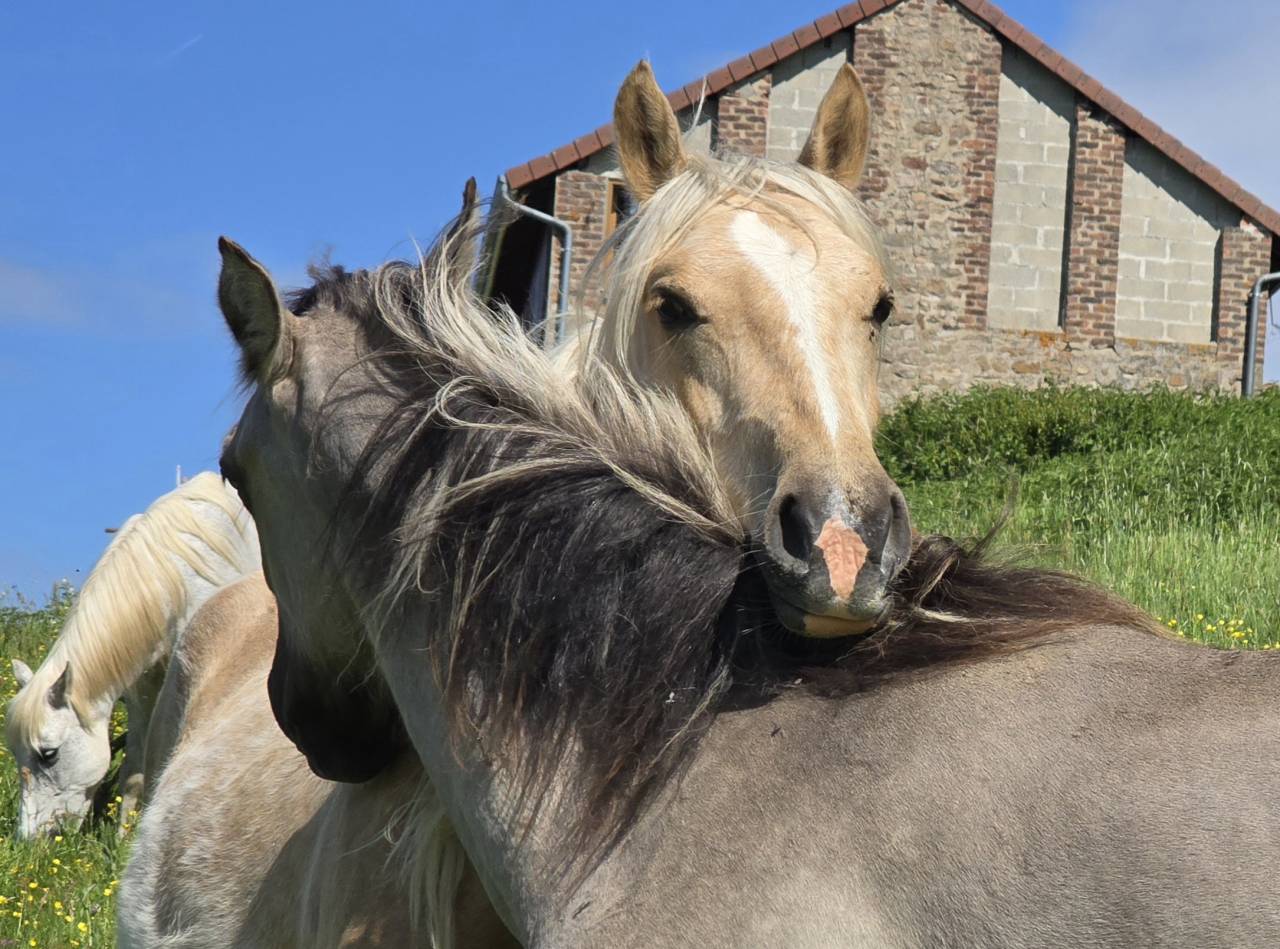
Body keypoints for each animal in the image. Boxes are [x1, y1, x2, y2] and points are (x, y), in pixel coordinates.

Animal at [5, 471, 260, 837]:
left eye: (49, 754)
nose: (29, 840)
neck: (173, 578)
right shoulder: (142, 689)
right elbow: (136, 769)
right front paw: (123, 835)